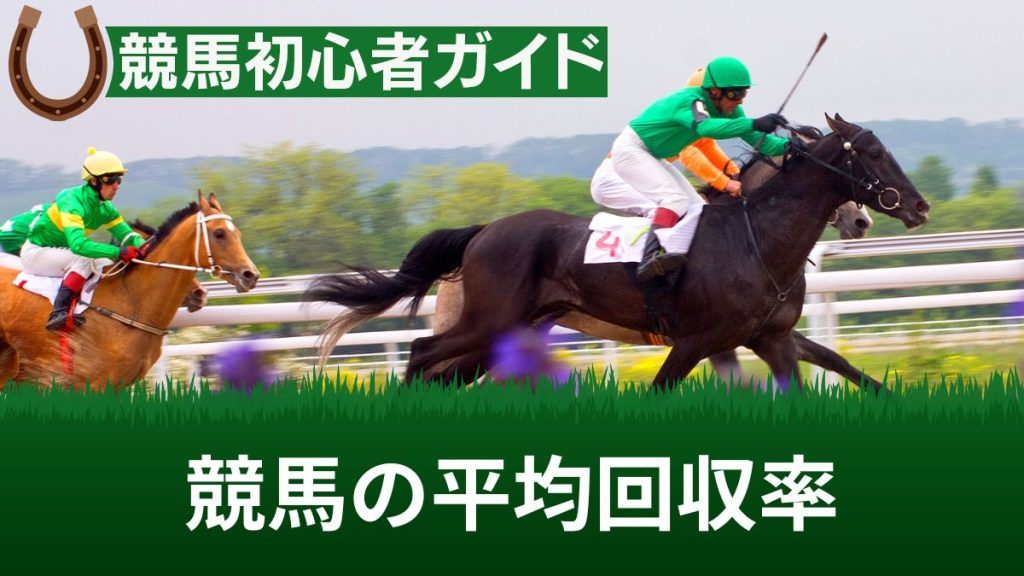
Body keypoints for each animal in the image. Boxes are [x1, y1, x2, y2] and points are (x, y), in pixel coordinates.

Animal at [307, 114, 930, 392]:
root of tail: (483, 232)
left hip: (507, 333)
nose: (918, 206)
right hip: (490, 320)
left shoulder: (769, 336)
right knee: (420, 352)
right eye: (873, 153)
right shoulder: (699, 340)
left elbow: (840, 366)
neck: (758, 238)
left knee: (445, 371)